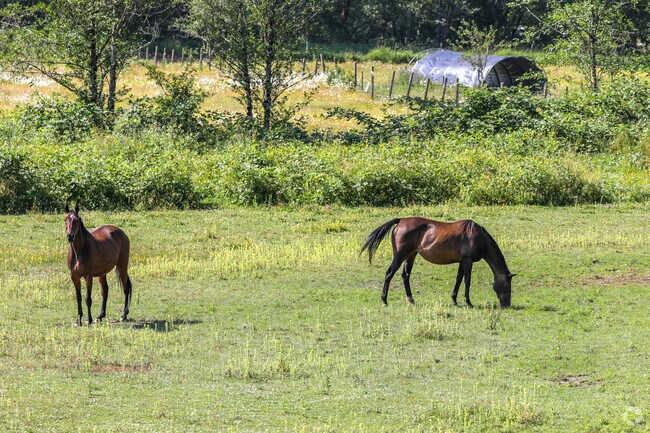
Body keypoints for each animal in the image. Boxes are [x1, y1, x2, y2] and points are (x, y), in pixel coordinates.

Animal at [361, 217, 514, 308]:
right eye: (507, 285)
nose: (507, 304)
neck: (477, 237)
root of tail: (401, 220)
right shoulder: (467, 260)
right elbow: (467, 280)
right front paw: (469, 302)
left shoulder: (462, 261)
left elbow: (458, 279)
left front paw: (454, 300)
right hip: (400, 255)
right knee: (389, 274)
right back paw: (384, 300)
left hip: (410, 256)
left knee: (405, 276)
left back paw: (411, 299)